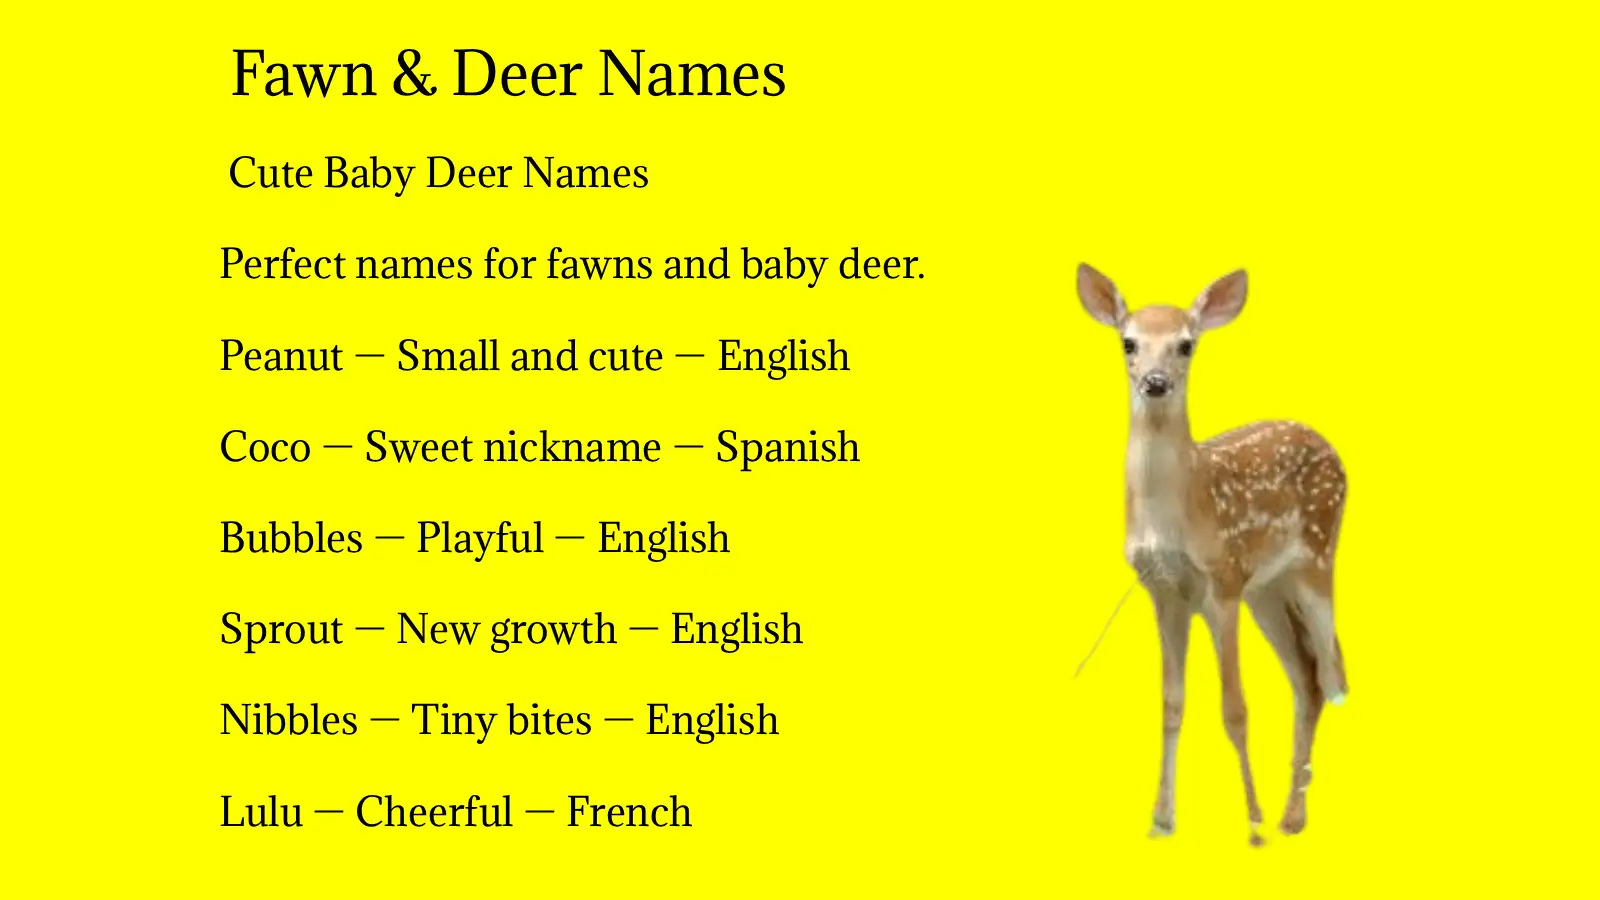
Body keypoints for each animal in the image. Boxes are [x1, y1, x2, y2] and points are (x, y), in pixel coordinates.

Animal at [1076, 264, 1349, 846]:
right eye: (1128, 342)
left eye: (1186, 344)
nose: (1155, 382)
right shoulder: (1164, 592)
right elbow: (1172, 703)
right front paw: (1161, 820)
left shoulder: (1221, 583)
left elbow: (1235, 707)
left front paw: (1252, 823)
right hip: (1267, 592)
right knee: (1308, 680)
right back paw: (1292, 815)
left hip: (1317, 559)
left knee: (1334, 674)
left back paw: (1289, 815)